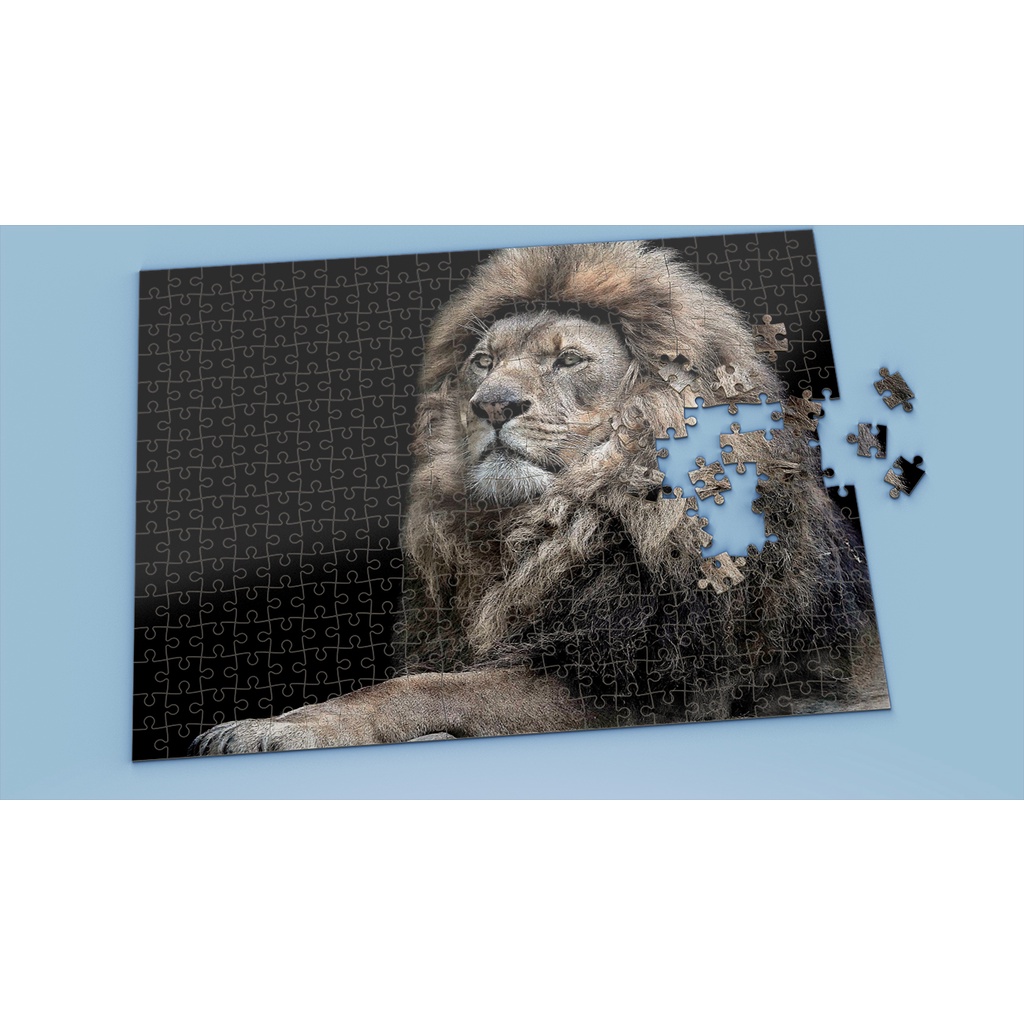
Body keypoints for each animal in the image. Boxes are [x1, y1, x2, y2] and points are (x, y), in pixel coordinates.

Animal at [194, 241, 888, 755]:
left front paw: (275, 729)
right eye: (483, 361)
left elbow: (418, 690)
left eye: (570, 361)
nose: (493, 405)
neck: (551, 527)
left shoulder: (633, 687)